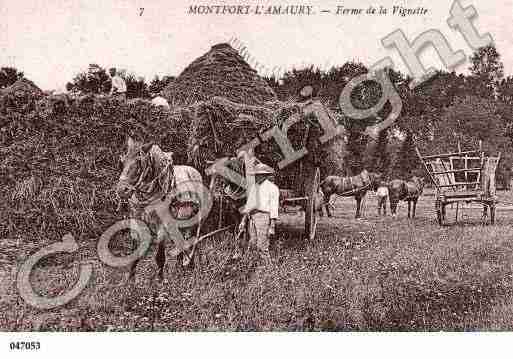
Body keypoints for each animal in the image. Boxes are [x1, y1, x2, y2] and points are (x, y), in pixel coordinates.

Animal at [116, 138, 204, 282]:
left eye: (139, 163)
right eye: (122, 161)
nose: (122, 190)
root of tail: (193, 170)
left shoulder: (162, 225)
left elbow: (160, 256)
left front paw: (160, 279)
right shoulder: (136, 221)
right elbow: (135, 252)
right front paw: (130, 279)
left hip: (194, 220)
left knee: (192, 241)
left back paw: (189, 265)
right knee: (180, 240)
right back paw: (180, 266)